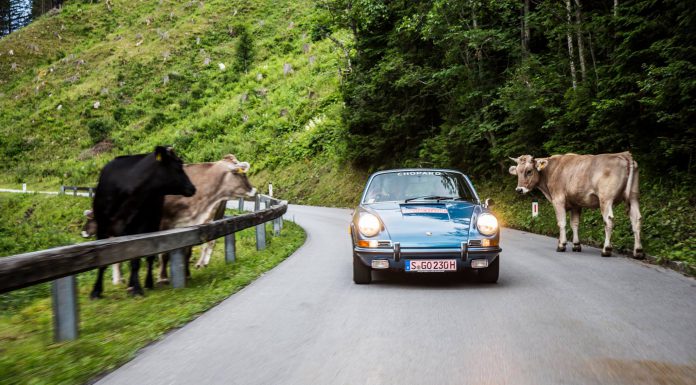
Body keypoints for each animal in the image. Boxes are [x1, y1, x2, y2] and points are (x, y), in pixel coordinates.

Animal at [90, 146, 196, 298]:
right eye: (177, 167)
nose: (192, 188)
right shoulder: (102, 225)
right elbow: (103, 262)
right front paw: (96, 290)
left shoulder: (139, 228)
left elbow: (136, 260)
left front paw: (137, 289)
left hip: (153, 223)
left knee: (149, 257)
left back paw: (146, 283)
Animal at [508, 151, 644, 258]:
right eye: (518, 172)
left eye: (529, 171)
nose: (519, 190)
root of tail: (624, 155)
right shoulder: (576, 203)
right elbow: (575, 224)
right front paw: (576, 245)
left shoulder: (558, 200)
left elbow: (561, 222)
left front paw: (561, 245)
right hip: (633, 197)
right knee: (636, 219)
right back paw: (638, 251)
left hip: (606, 199)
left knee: (609, 220)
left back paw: (606, 250)